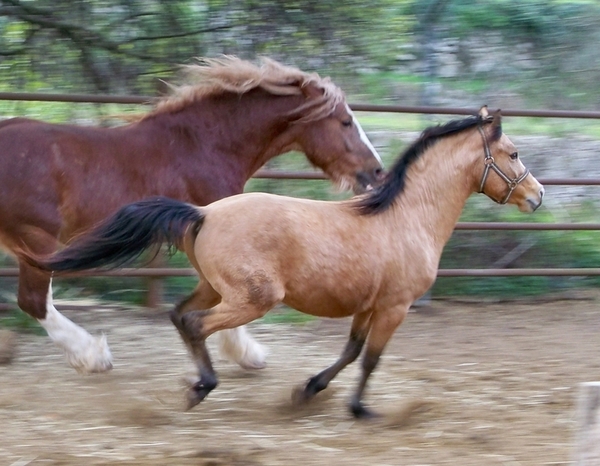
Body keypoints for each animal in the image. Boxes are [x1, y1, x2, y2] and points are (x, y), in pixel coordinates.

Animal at [0, 56, 384, 374]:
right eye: (346, 122)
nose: (377, 171)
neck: (203, 146)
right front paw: (248, 353)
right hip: (37, 236)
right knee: (34, 301)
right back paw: (94, 355)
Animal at [24, 106, 544, 418]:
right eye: (514, 153)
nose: (537, 196)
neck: (406, 217)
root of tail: (203, 213)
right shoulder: (394, 307)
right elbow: (371, 359)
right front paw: (360, 409)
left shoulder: (369, 305)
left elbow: (351, 351)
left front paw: (308, 390)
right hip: (252, 298)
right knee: (194, 322)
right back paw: (200, 387)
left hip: (215, 287)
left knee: (179, 315)